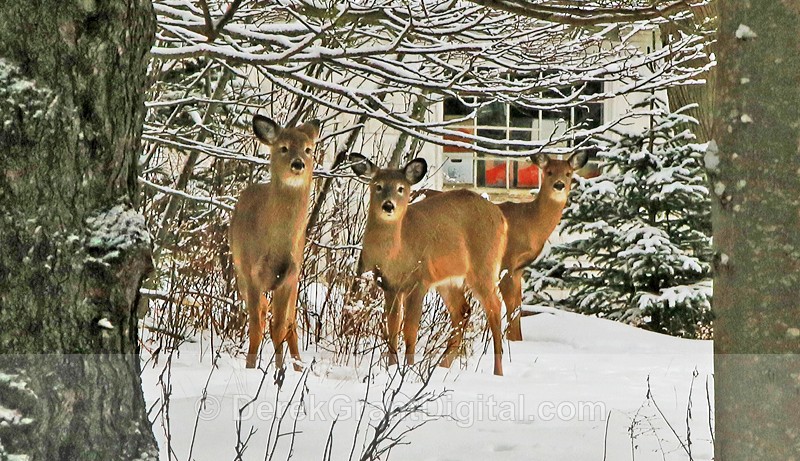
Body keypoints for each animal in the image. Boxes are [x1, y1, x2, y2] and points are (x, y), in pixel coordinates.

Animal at [229, 115, 321, 370]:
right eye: (284, 148)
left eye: (308, 149)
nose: (298, 164)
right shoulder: (250, 273)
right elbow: (256, 325)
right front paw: (251, 368)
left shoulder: (288, 278)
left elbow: (279, 327)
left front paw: (280, 370)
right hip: (239, 272)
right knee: (262, 313)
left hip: (296, 280)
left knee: (291, 323)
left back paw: (298, 365)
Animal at [349, 153, 509, 376]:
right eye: (378, 186)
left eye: (401, 188)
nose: (388, 206)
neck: (397, 254)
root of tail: (501, 217)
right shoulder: (389, 286)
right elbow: (392, 327)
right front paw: (391, 366)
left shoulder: (419, 280)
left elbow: (410, 329)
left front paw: (407, 369)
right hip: (448, 279)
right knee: (463, 310)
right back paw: (443, 364)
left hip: (484, 265)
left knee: (494, 307)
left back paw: (498, 370)